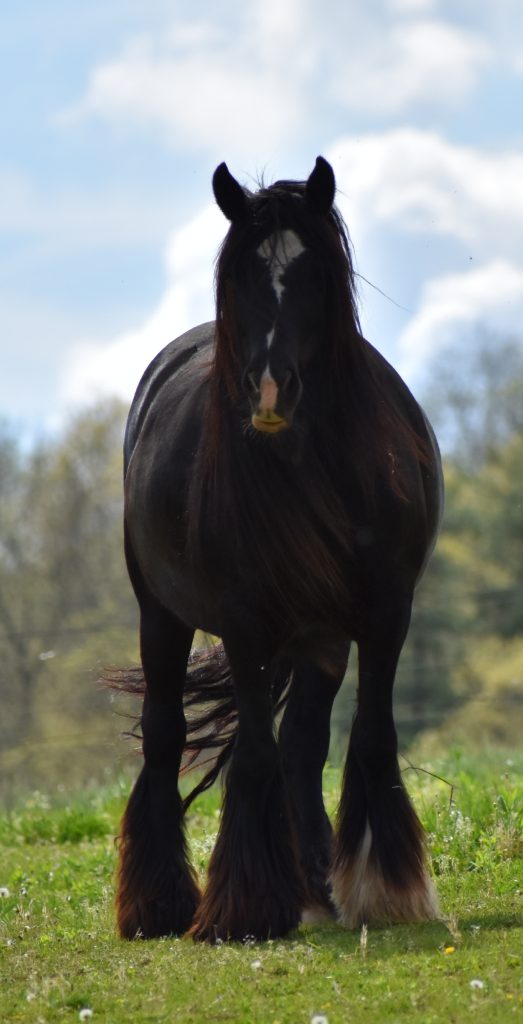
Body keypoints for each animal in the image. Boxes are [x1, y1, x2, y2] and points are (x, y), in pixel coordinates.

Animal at [116, 156, 444, 942]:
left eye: (314, 275)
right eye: (239, 275)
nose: (268, 389)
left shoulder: (385, 614)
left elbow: (370, 736)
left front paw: (385, 888)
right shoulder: (244, 621)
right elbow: (254, 755)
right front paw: (245, 906)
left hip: (318, 638)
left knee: (303, 744)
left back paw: (317, 887)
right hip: (161, 615)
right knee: (167, 733)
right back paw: (161, 903)